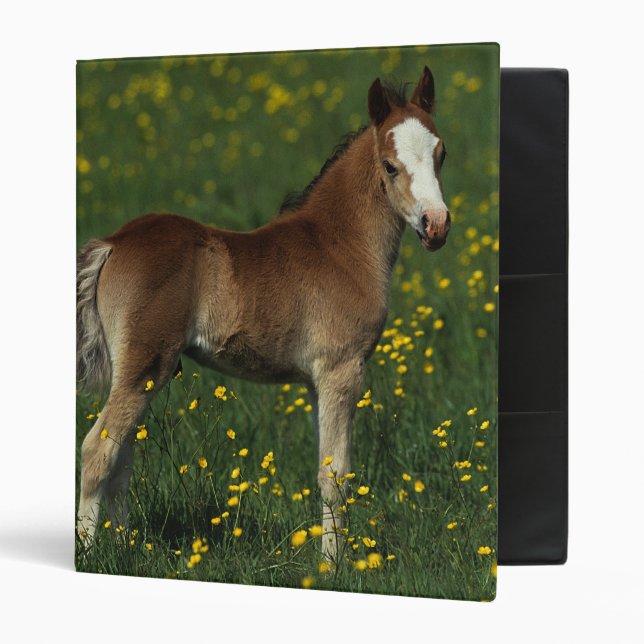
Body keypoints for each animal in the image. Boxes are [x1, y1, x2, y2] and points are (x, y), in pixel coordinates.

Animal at [76, 66, 451, 561]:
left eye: (441, 154)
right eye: (390, 165)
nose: (437, 225)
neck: (339, 246)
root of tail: (113, 243)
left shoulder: (316, 381)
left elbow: (326, 466)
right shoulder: (342, 369)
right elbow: (335, 477)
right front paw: (334, 565)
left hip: (145, 374)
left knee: (121, 459)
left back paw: (123, 547)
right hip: (143, 366)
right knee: (97, 451)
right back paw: (88, 552)